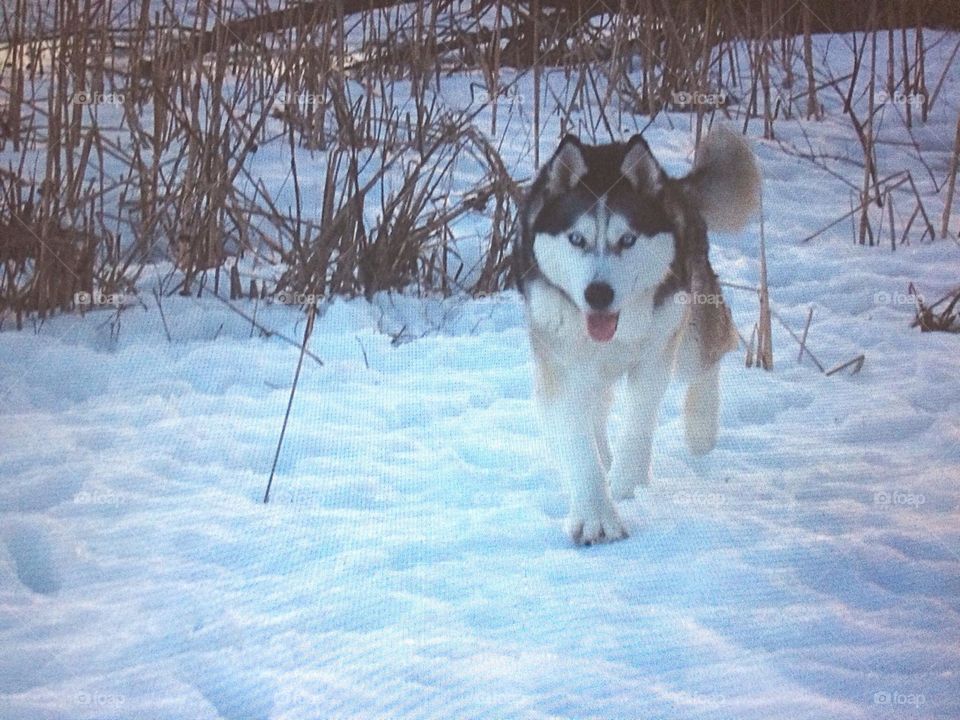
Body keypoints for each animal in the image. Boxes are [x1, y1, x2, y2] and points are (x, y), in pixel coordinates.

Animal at [512, 131, 760, 544]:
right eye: (576, 238)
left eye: (627, 239)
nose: (598, 294)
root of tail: (672, 186)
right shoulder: (560, 364)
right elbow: (578, 439)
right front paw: (595, 513)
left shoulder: (656, 353)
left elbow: (638, 419)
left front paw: (625, 484)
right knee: (596, 406)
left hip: (688, 323)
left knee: (710, 352)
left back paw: (700, 427)